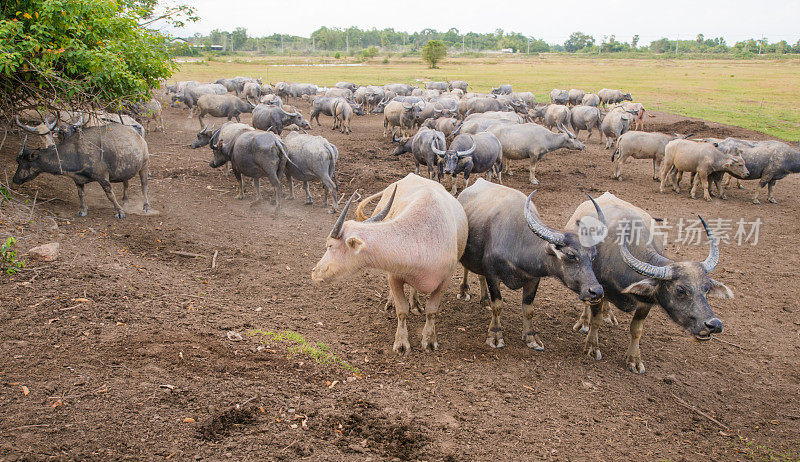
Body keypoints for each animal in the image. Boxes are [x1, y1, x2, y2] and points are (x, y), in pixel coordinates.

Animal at [312, 173, 468, 354]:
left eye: (330, 245)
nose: (315, 271)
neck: (423, 238)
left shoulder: (445, 281)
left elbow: (431, 311)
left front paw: (429, 340)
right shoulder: (394, 275)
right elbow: (402, 311)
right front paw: (401, 343)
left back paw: (415, 303)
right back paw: (392, 302)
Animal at [456, 182, 608, 348]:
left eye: (593, 256)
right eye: (570, 255)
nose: (596, 291)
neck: (518, 244)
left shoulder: (533, 279)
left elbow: (528, 308)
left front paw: (531, 336)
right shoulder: (493, 275)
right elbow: (498, 306)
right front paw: (495, 334)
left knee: (480, 275)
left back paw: (484, 300)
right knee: (466, 268)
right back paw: (464, 290)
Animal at [568, 193, 732, 374]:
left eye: (707, 289)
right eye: (680, 290)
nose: (713, 324)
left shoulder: (646, 303)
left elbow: (636, 329)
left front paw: (634, 360)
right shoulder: (598, 289)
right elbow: (595, 321)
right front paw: (592, 347)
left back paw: (608, 315)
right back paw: (584, 321)